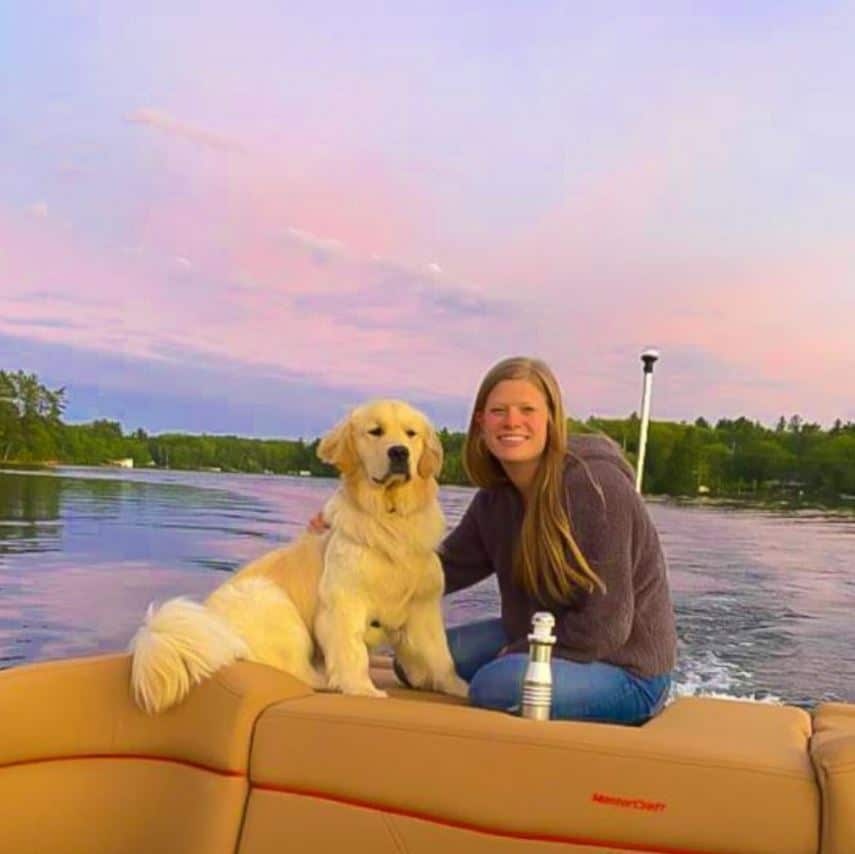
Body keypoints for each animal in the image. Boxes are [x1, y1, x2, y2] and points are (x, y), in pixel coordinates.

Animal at [129, 402, 468, 716]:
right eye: (375, 431)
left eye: (411, 433)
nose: (399, 452)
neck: (391, 519)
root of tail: (209, 630)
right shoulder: (343, 604)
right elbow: (351, 650)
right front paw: (362, 689)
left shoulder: (423, 608)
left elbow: (439, 654)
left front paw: (458, 687)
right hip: (271, 601)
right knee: (294, 669)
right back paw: (324, 678)